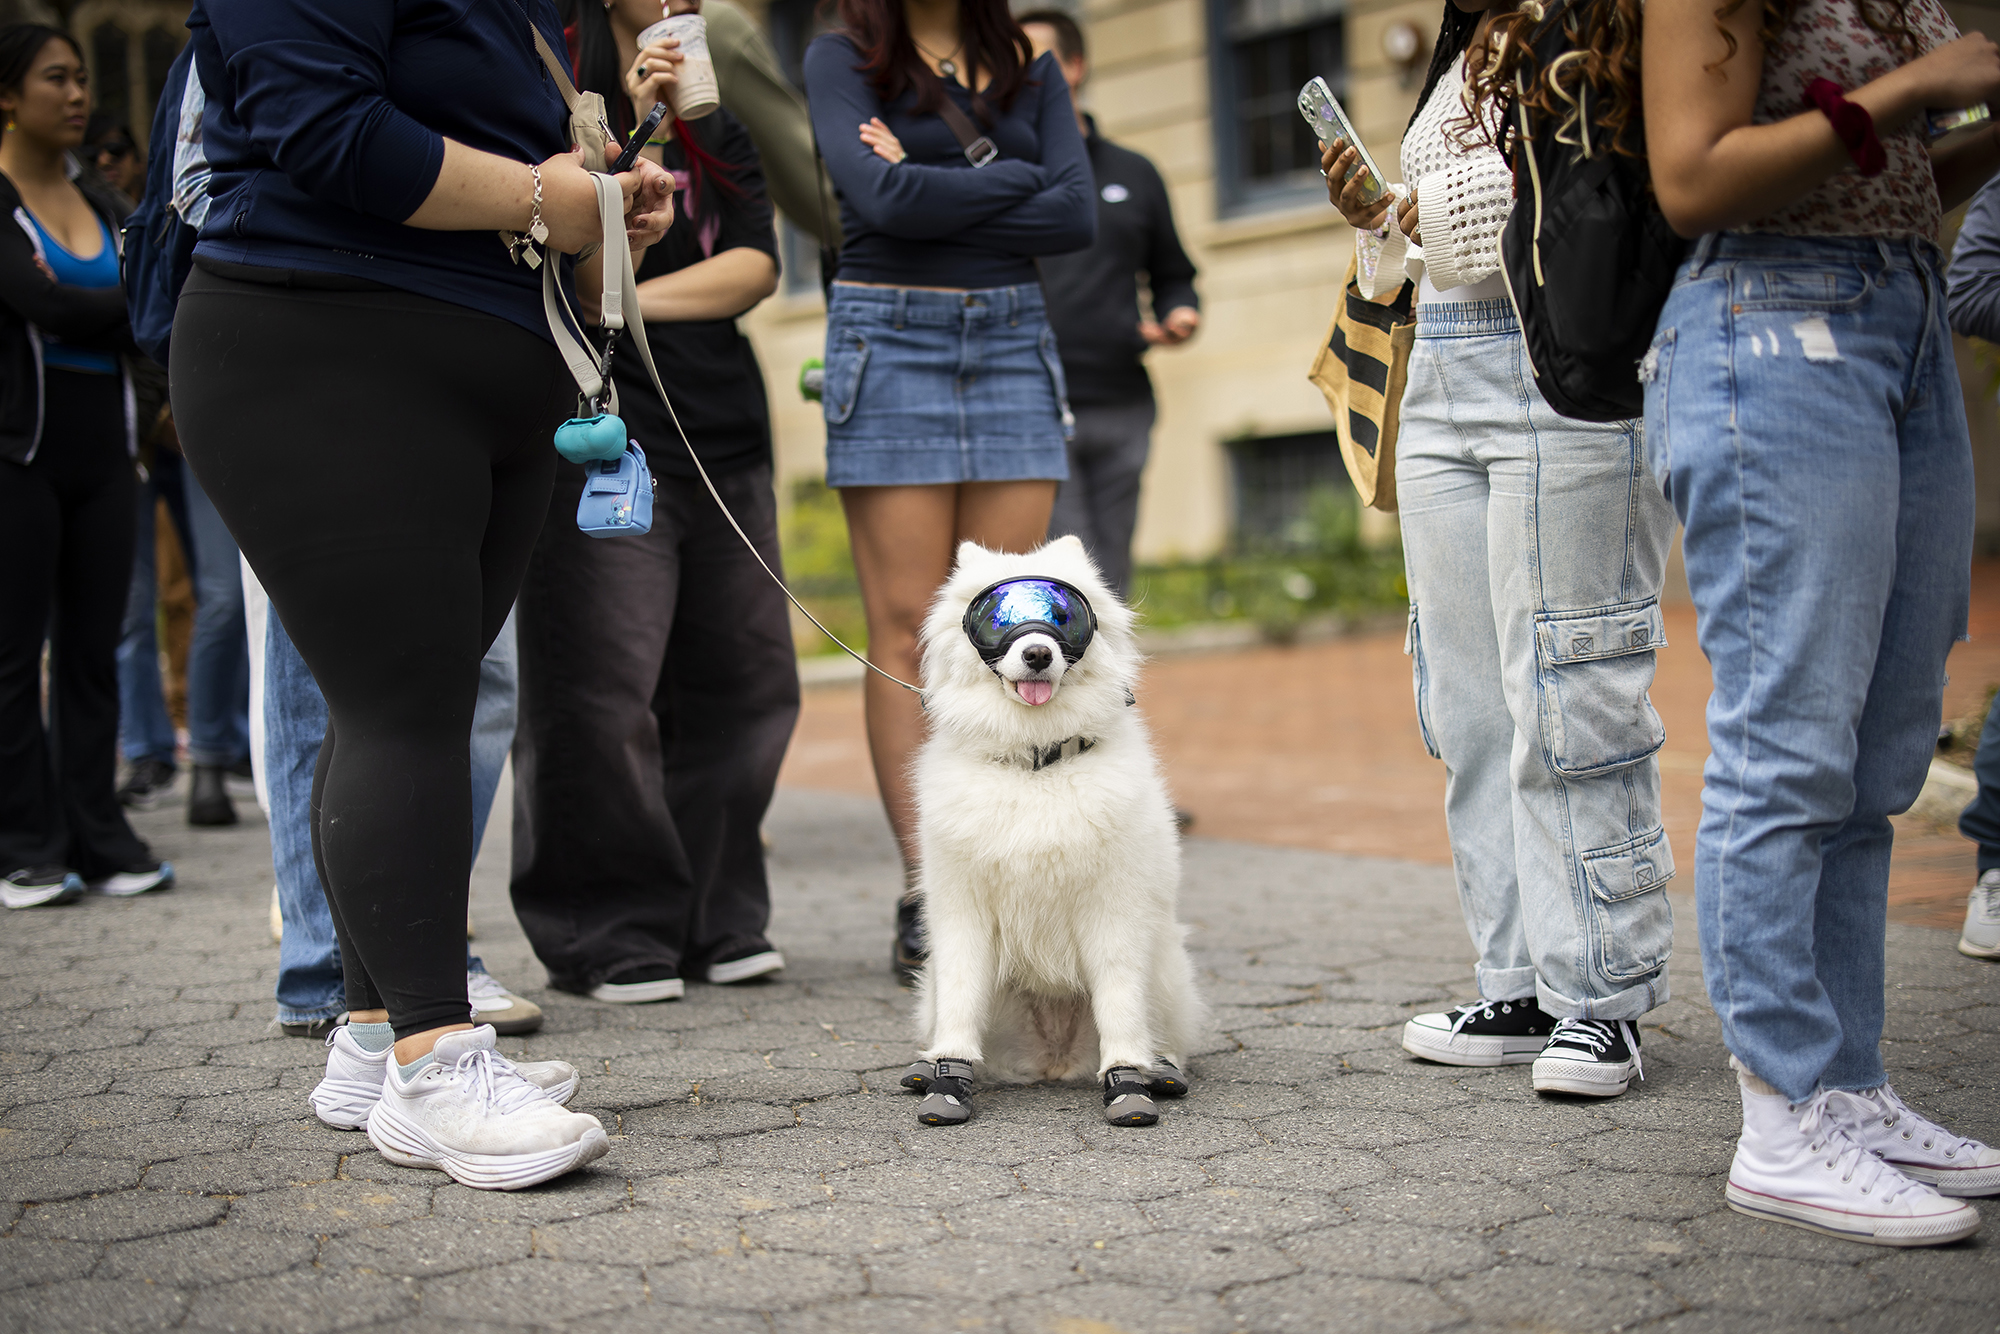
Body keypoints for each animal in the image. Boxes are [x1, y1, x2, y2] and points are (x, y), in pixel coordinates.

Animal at [908, 536, 1200, 1136]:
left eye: (1064, 616)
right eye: (996, 616)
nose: (1038, 654)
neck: (1035, 763)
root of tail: (1055, 1060)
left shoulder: (1114, 912)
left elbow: (1120, 1005)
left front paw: (1127, 1085)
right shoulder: (962, 913)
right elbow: (961, 1003)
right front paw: (949, 1082)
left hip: (1165, 967)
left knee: (1161, 1034)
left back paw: (1161, 1071)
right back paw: (927, 1068)